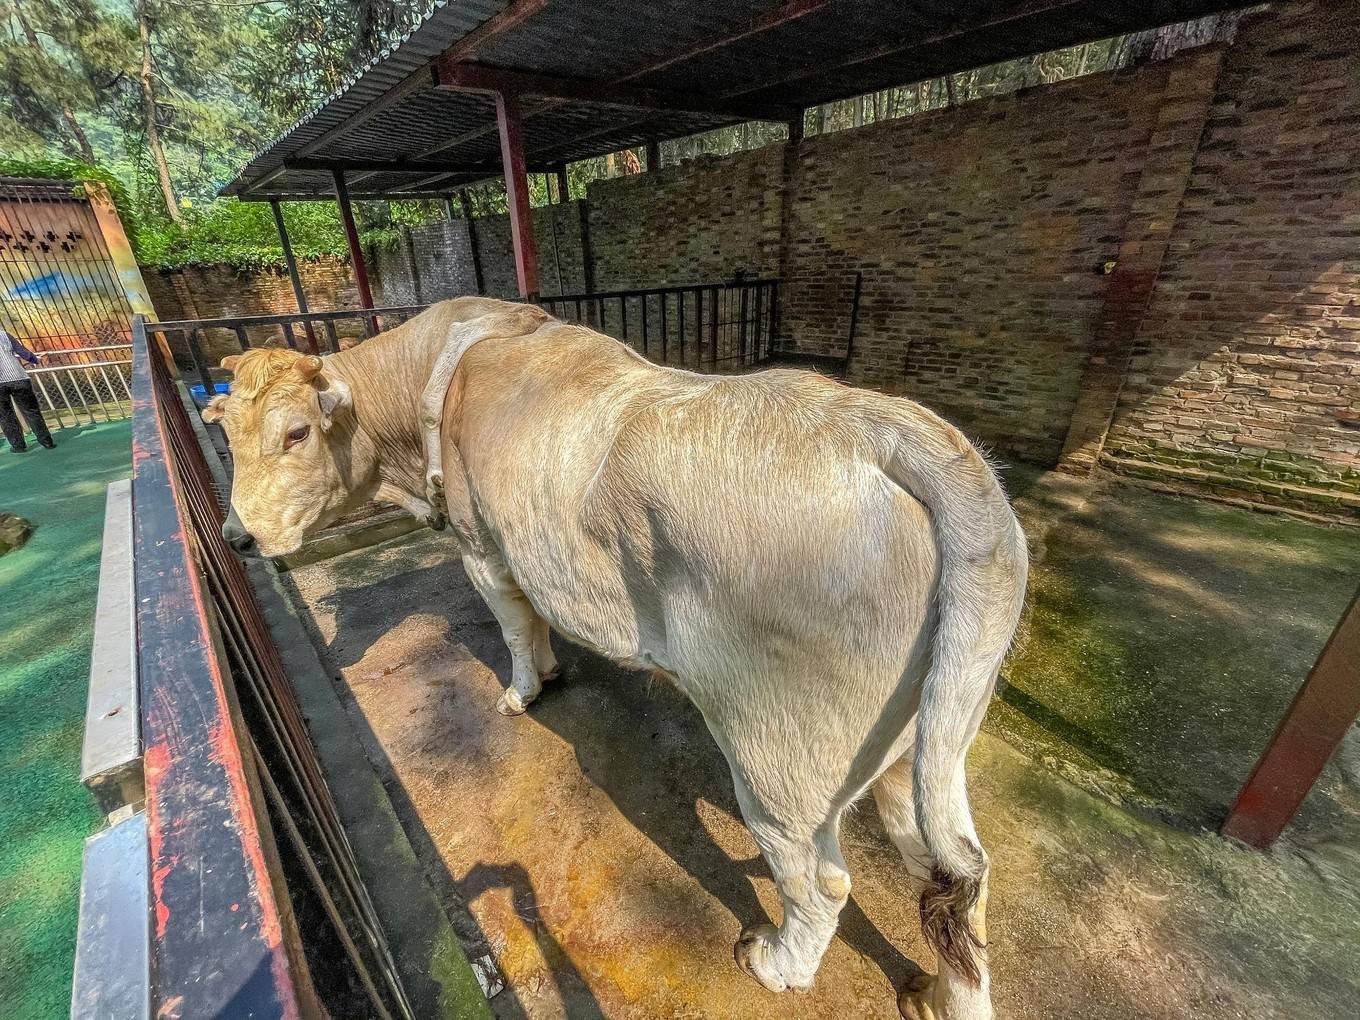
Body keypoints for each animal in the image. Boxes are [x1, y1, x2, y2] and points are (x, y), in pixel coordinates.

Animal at [206, 297, 1022, 1020]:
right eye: (232, 439)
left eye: (296, 433)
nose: (236, 535)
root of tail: (884, 424)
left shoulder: (481, 546)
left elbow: (515, 628)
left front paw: (525, 689)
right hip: (925, 735)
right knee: (954, 871)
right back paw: (943, 998)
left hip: (778, 747)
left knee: (820, 879)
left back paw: (777, 964)